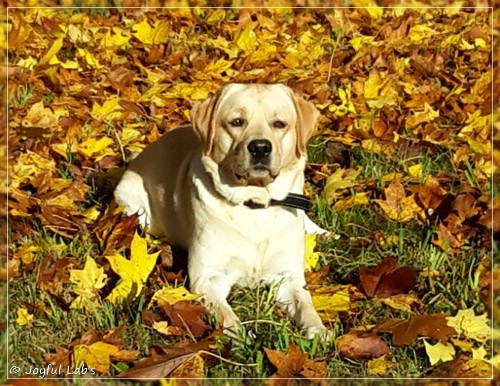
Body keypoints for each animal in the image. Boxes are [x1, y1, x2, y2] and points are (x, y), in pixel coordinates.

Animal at [115, 83, 330, 338]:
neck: (255, 205)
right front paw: (242, 337)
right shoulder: (207, 278)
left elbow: (306, 304)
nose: (260, 147)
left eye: (279, 124)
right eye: (237, 122)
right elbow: (227, 316)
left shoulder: (289, 277)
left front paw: (319, 331)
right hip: (132, 204)